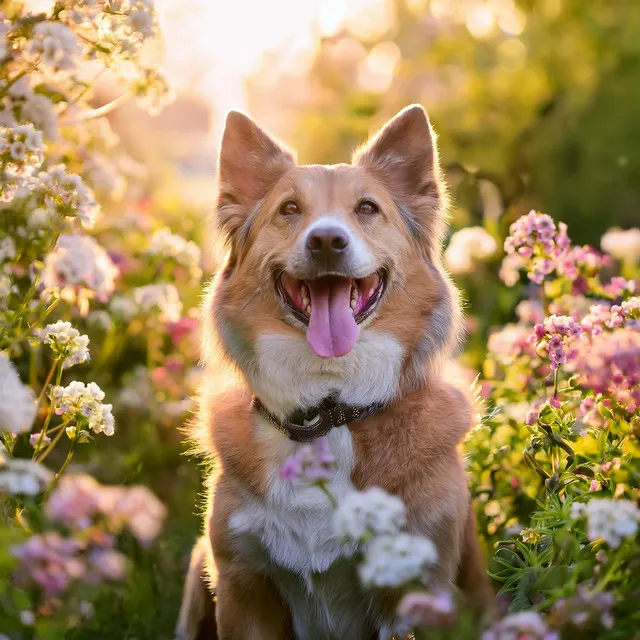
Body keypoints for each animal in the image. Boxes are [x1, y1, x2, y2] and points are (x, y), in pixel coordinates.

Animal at [178, 105, 492, 640]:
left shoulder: (417, 586)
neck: (326, 411)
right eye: (289, 209)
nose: (326, 240)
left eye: (367, 208)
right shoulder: (242, 586)